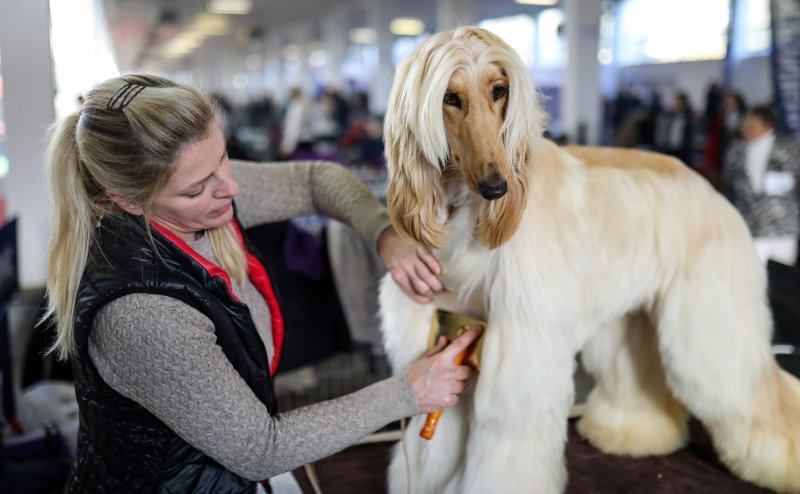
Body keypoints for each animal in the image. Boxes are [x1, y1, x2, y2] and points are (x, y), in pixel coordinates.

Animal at [376, 27, 800, 494]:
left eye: (499, 90)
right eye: (450, 97)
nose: (496, 187)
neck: (466, 209)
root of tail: (710, 187)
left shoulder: (519, 342)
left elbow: (506, 432)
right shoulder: (453, 326)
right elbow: (439, 427)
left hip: (708, 322)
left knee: (753, 387)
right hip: (631, 318)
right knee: (637, 375)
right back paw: (635, 432)